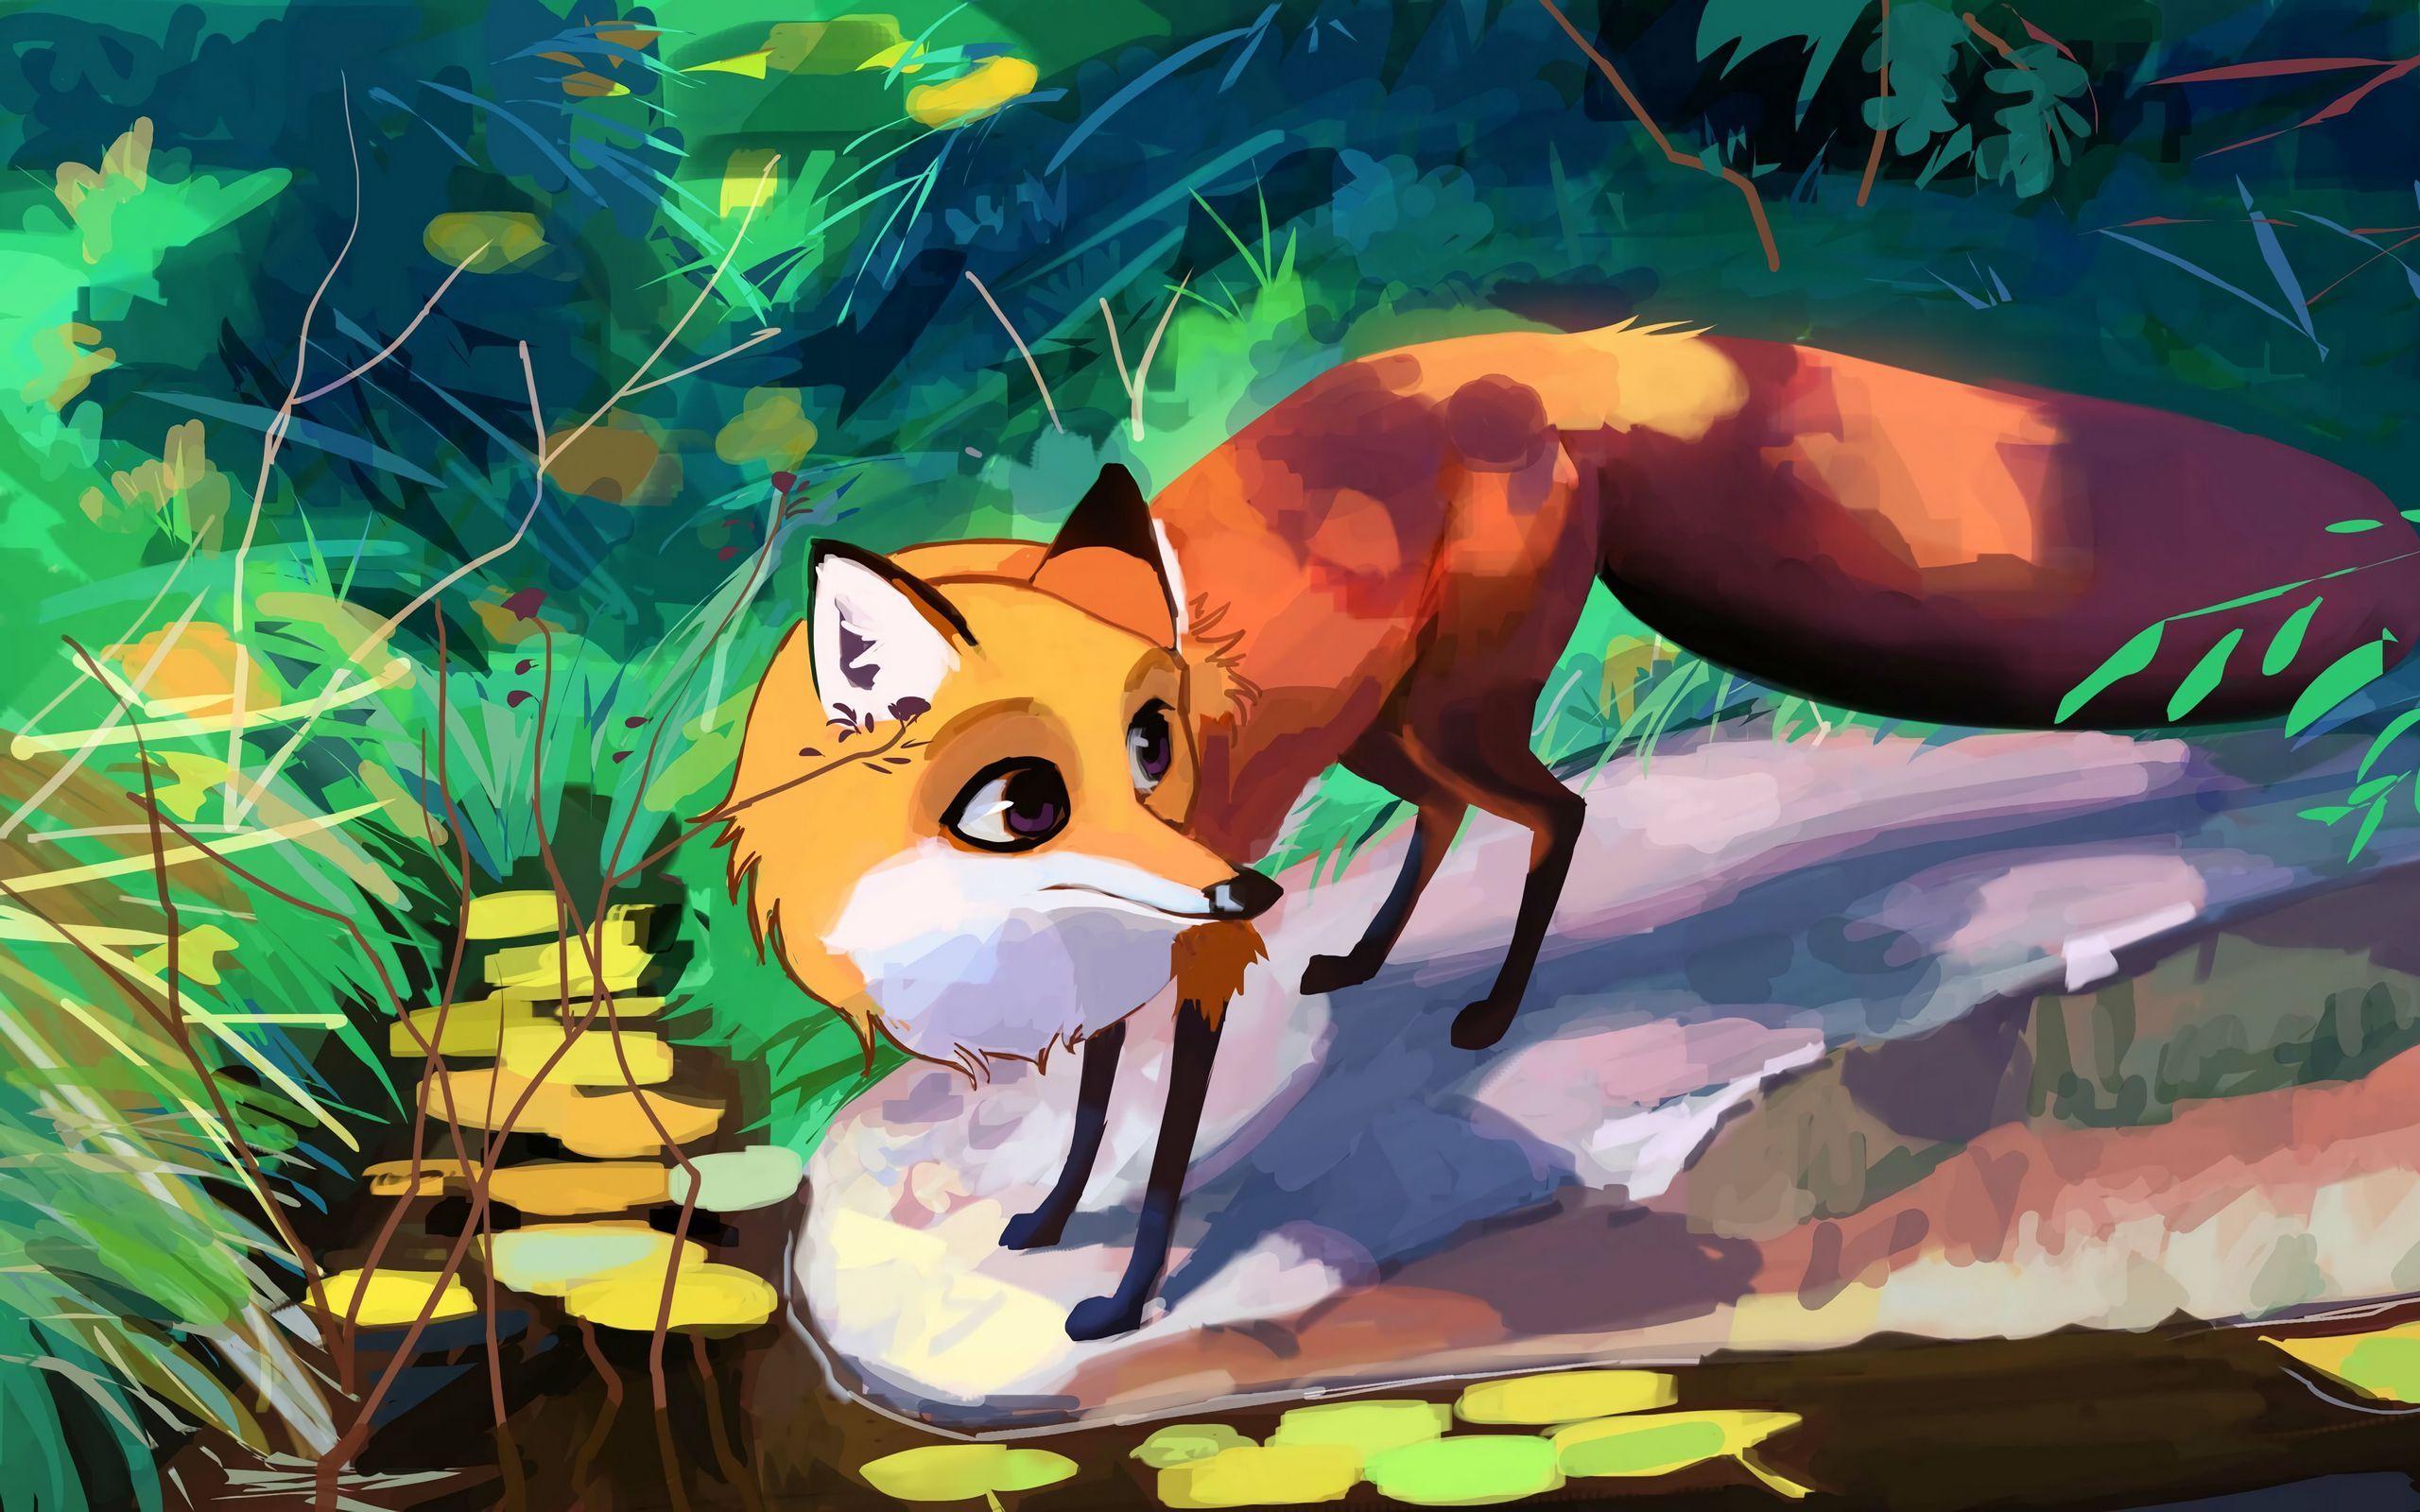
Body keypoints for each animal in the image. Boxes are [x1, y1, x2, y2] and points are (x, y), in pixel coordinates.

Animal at [716, 318, 2412, 1341]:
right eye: (1029, 796)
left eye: (1157, 744)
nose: (1245, 886)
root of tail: (1539, 351)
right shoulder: (1130, 953)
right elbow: (1086, 1121)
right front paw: (1053, 1217)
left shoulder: (1192, 957)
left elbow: (1172, 1148)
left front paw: (1124, 1299)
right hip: (1397, 721)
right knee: (1452, 812)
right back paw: (1368, 961)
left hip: (1456, 706)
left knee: (1556, 809)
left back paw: (1487, 1010)